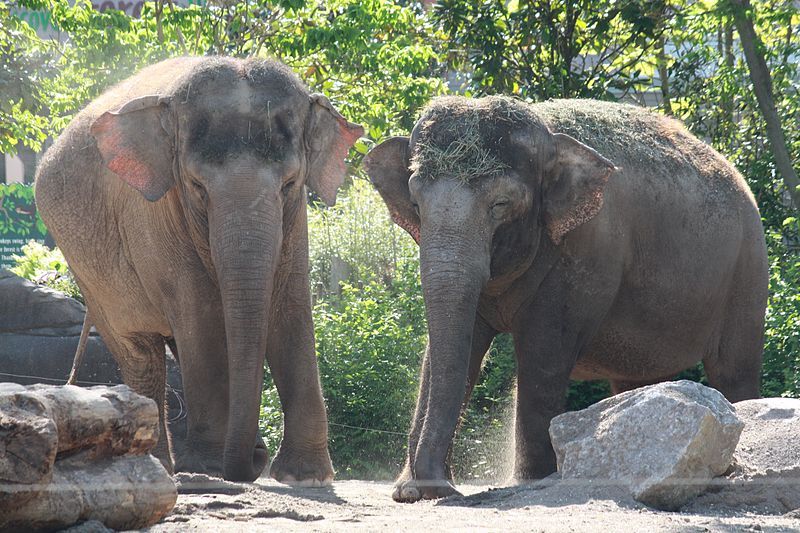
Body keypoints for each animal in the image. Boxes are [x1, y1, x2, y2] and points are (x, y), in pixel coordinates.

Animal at [35, 57, 362, 482]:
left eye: (290, 183)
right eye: (196, 186)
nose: (253, 463)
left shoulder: (294, 219)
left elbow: (290, 305)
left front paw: (304, 476)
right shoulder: (153, 216)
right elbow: (199, 313)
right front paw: (207, 466)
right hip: (87, 272)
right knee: (141, 354)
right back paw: (157, 464)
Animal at [364, 96, 768, 502]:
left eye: (500, 204)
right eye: (416, 205)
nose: (443, 488)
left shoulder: (584, 254)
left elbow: (543, 354)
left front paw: (529, 482)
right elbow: (450, 352)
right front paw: (407, 491)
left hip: (748, 269)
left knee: (734, 370)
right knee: (637, 379)